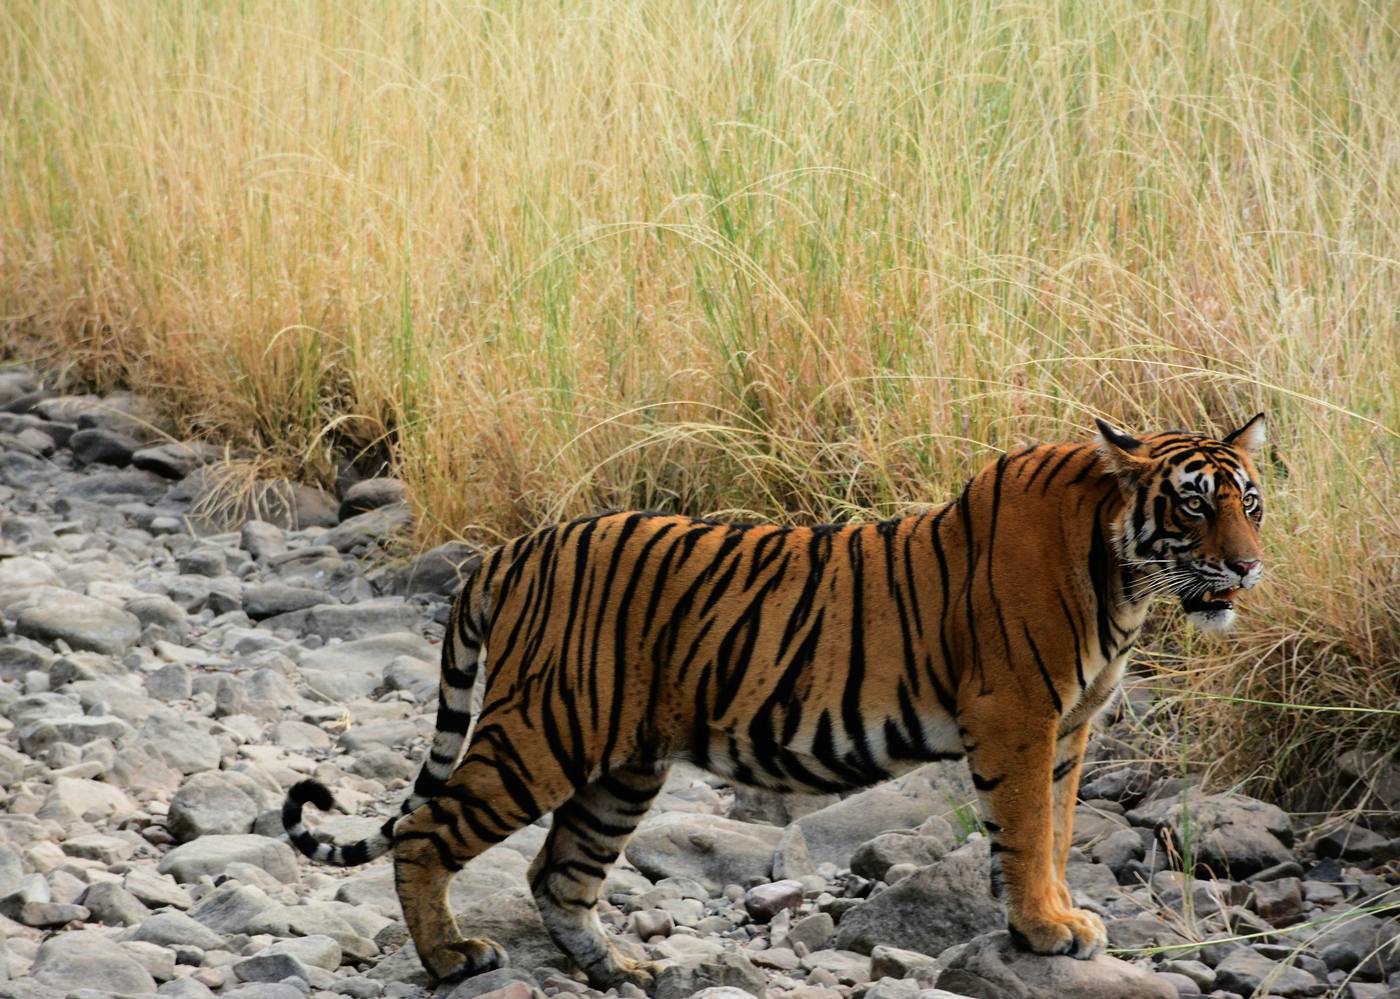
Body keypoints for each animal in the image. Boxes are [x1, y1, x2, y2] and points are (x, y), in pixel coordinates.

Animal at [282, 414, 1267, 989]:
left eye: (1250, 502)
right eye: (1192, 505)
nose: (1250, 565)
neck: (1123, 574)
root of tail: (511, 550)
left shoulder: (1069, 728)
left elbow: (1058, 831)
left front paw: (1063, 917)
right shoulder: (1018, 718)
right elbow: (1026, 833)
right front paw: (1044, 930)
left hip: (622, 767)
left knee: (557, 873)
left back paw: (621, 967)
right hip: (543, 730)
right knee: (425, 830)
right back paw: (451, 957)